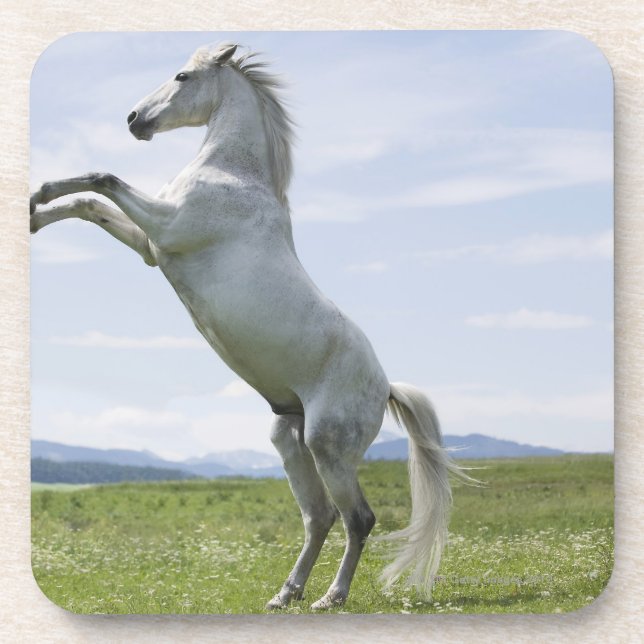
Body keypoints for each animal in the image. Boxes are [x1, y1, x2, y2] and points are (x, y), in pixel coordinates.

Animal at [30, 42, 473, 610]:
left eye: (182, 75)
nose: (133, 120)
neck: (234, 174)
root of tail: (386, 387)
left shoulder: (166, 225)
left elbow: (102, 180)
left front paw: (36, 198)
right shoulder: (151, 246)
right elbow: (89, 203)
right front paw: (34, 210)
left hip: (328, 448)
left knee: (358, 519)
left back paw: (331, 597)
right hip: (290, 440)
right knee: (319, 517)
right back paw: (286, 594)